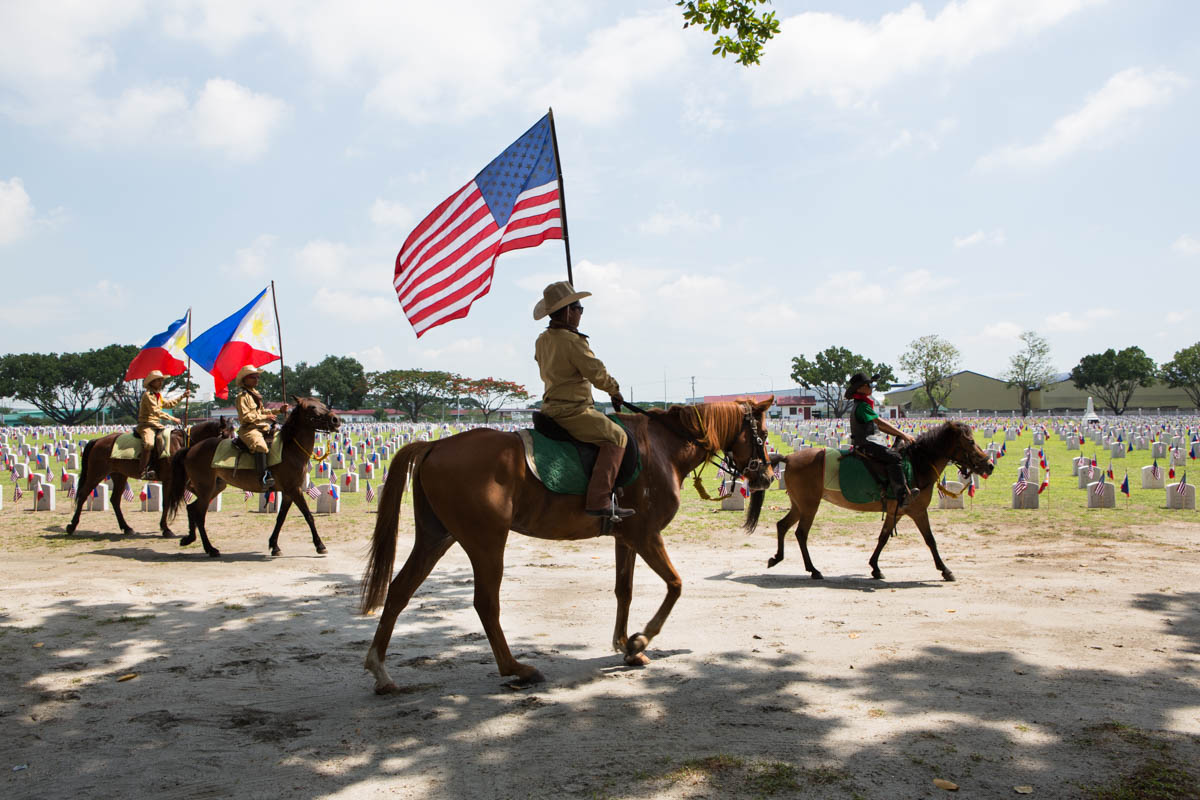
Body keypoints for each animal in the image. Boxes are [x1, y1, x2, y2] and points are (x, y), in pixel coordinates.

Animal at [65, 419, 231, 537]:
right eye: (225, 435)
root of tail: (98, 440)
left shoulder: (183, 480)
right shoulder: (170, 480)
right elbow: (165, 503)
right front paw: (166, 528)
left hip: (119, 476)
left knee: (115, 500)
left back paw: (126, 528)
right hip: (97, 473)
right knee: (83, 494)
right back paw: (72, 526)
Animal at [162, 398, 340, 561]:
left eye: (322, 404)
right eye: (311, 407)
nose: (336, 420)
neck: (290, 448)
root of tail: (191, 449)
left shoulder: (289, 493)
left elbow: (281, 518)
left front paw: (274, 546)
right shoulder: (294, 490)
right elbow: (308, 516)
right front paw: (320, 545)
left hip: (215, 487)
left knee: (192, 508)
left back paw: (190, 538)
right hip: (206, 489)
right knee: (199, 514)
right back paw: (210, 548)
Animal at [355, 400, 772, 695]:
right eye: (765, 435)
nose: (768, 475)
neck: (664, 446)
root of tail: (436, 444)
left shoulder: (626, 538)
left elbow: (624, 590)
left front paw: (626, 644)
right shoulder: (646, 535)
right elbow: (675, 585)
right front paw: (640, 639)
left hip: (436, 537)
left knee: (399, 590)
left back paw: (381, 671)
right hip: (486, 541)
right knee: (485, 603)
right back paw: (516, 669)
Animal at [768, 419, 993, 582]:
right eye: (970, 442)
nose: (989, 465)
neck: (917, 465)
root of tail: (790, 458)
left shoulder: (898, 511)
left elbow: (883, 537)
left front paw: (875, 567)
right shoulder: (917, 511)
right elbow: (930, 539)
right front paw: (945, 569)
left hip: (800, 505)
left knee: (782, 526)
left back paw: (777, 558)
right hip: (809, 506)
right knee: (801, 533)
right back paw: (813, 570)